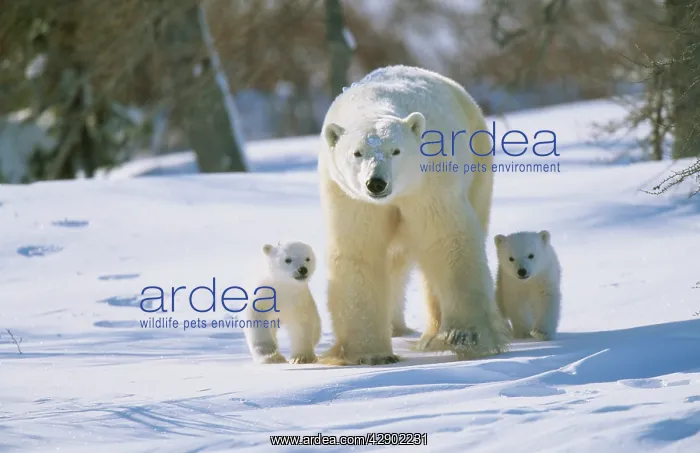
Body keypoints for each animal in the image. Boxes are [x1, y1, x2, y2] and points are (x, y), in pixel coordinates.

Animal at [316, 65, 510, 365]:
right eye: (357, 153)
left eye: (395, 151)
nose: (376, 183)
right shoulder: (350, 198)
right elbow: (359, 252)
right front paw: (369, 353)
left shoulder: (428, 181)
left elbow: (447, 240)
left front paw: (465, 336)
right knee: (394, 262)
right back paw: (396, 327)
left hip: (478, 163)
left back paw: (431, 335)